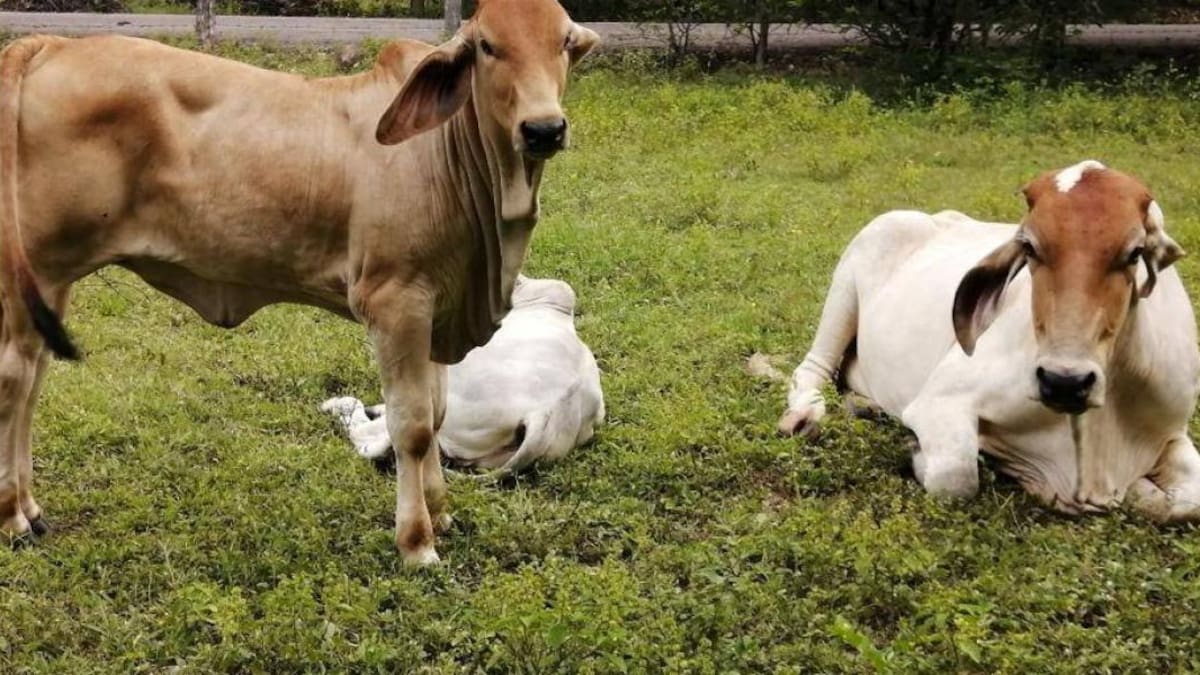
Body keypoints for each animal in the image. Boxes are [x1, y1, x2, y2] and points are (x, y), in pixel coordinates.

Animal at [777, 161, 1200, 521]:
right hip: (850, 277)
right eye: (1029, 247)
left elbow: (1187, 502)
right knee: (811, 370)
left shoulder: (1172, 432)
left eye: (1134, 252)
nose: (1064, 381)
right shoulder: (940, 400)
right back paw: (805, 417)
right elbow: (957, 475)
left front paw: (1139, 492)